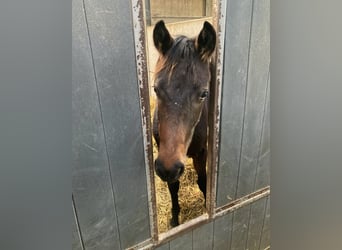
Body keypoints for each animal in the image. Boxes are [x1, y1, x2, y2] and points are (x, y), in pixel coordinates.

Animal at [152, 20, 215, 227]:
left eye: (204, 93)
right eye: (155, 89)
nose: (168, 168)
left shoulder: (201, 153)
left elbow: (203, 181)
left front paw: (207, 207)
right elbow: (173, 186)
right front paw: (174, 218)